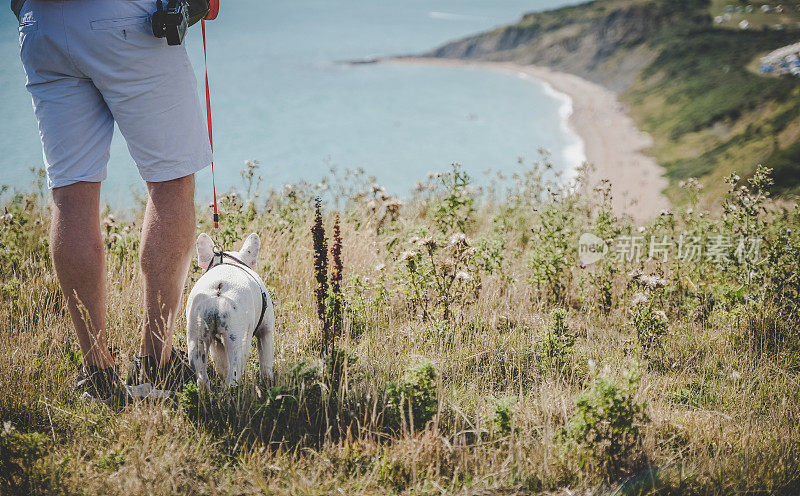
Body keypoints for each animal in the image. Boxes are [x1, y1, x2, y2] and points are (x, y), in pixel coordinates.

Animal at [187, 232, 276, 388]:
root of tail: (218, 289)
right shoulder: (266, 330)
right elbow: (266, 361)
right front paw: (268, 382)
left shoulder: (216, 343)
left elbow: (220, 364)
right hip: (239, 336)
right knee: (235, 369)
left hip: (197, 330)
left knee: (201, 371)